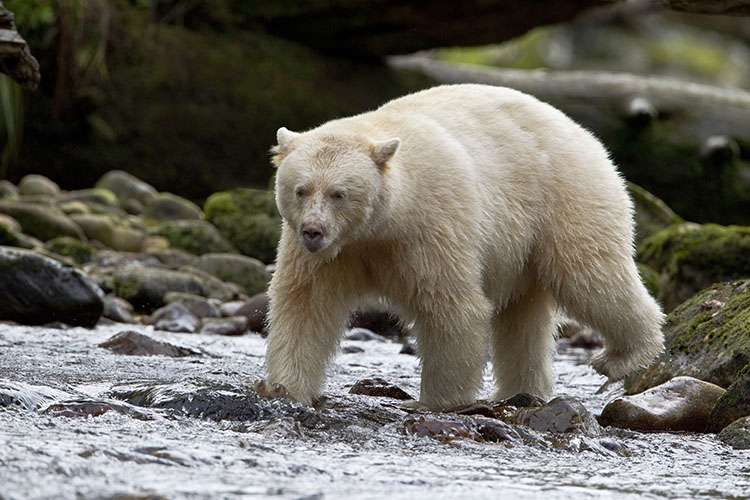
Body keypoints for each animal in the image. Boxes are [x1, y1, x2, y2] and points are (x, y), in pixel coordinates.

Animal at [264, 83, 664, 410]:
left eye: (339, 193)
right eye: (301, 190)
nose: (313, 231)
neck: (378, 228)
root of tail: (582, 132)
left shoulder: (430, 227)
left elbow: (451, 307)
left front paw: (436, 401)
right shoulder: (329, 255)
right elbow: (306, 306)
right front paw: (284, 389)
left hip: (566, 196)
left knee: (589, 277)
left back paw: (622, 356)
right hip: (523, 248)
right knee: (523, 319)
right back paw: (521, 390)